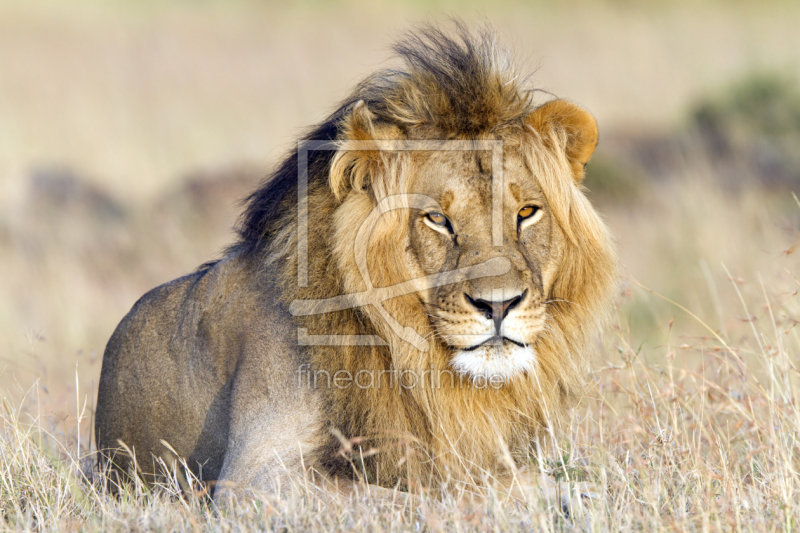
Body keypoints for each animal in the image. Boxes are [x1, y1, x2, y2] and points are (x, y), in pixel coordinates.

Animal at [95, 21, 620, 502]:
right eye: (437, 219)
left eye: (527, 212)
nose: (499, 305)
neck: (412, 358)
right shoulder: (255, 478)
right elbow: (434, 490)